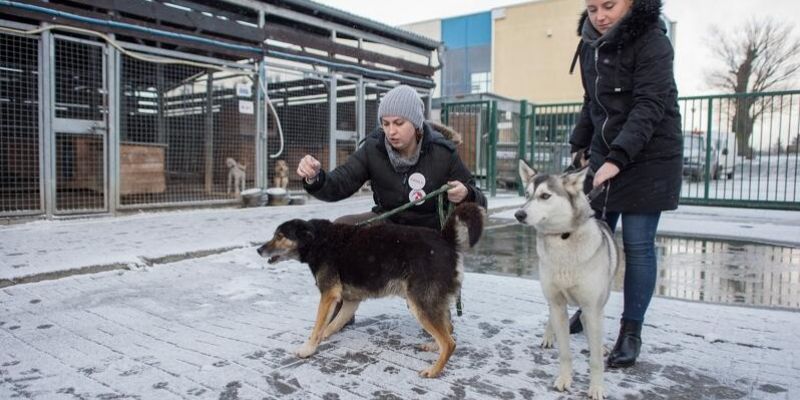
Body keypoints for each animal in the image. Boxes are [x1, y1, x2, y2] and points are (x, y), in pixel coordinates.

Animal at [258, 205, 482, 376]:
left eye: (280, 236)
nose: (258, 250)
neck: (317, 240)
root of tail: (446, 238)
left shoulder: (328, 295)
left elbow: (318, 326)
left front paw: (308, 348)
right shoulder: (350, 301)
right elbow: (331, 325)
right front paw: (323, 338)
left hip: (420, 304)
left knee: (450, 343)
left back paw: (434, 370)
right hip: (428, 303)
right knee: (449, 330)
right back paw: (434, 346)